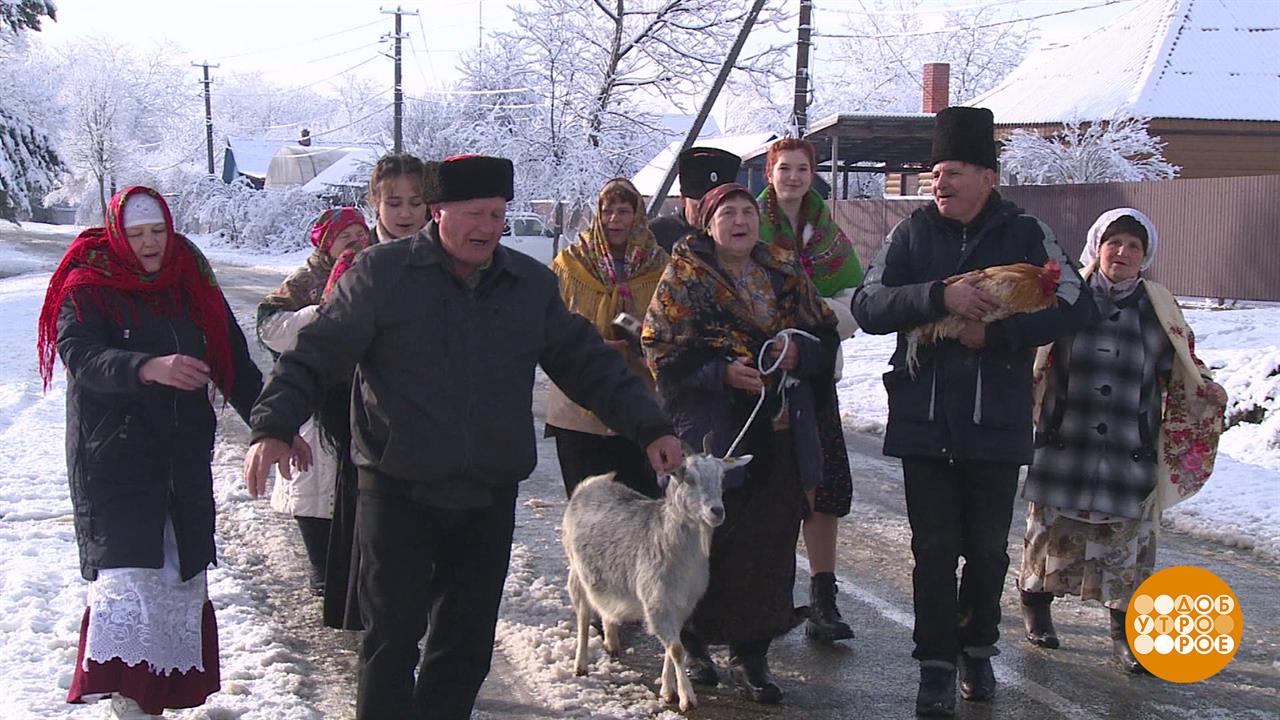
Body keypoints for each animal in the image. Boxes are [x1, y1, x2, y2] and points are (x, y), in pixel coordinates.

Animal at [560, 435, 747, 707]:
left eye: (722, 477)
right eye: (689, 478)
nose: (717, 511)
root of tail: (588, 486)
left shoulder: (682, 603)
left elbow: (673, 646)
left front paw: (668, 691)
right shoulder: (655, 599)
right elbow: (677, 648)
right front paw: (687, 699)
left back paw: (612, 642)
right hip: (576, 571)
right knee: (583, 615)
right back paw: (580, 665)